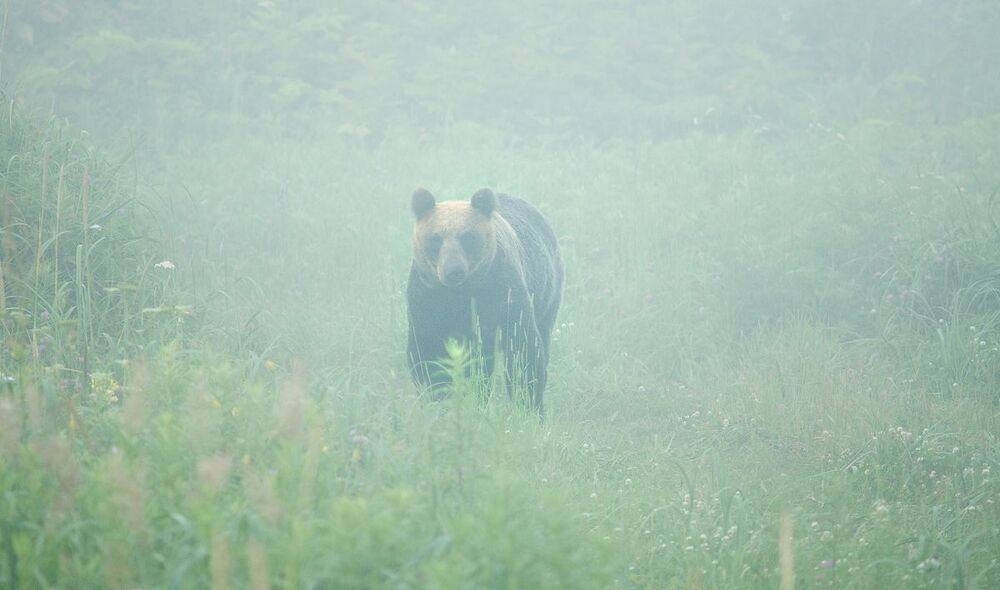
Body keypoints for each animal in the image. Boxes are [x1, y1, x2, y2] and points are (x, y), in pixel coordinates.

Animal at [406, 187, 563, 414]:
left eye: (468, 236)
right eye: (436, 238)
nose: (454, 271)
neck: (461, 294)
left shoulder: (501, 294)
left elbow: (523, 351)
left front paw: (529, 405)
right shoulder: (428, 300)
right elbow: (430, 356)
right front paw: (442, 400)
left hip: (547, 293)